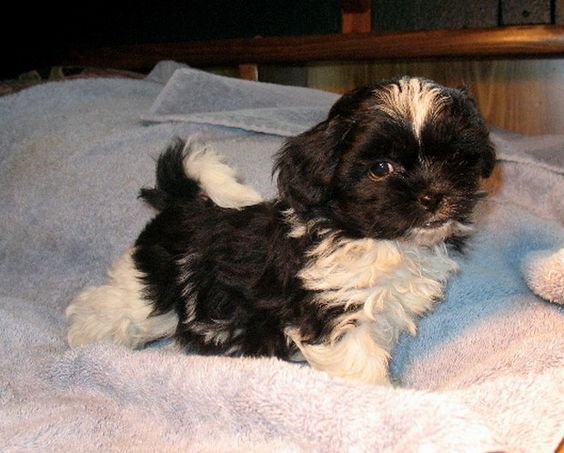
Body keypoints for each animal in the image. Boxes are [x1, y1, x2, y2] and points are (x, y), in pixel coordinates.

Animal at [68, 76, 496, 384]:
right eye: (380, 168)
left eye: (455, 159)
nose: (432, 196)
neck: (367, 237)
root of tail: (184, 204)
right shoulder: (334, 310)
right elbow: (359, 365)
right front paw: (382, 399)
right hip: (153, 285)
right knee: (118, 304)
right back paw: (85, 336)